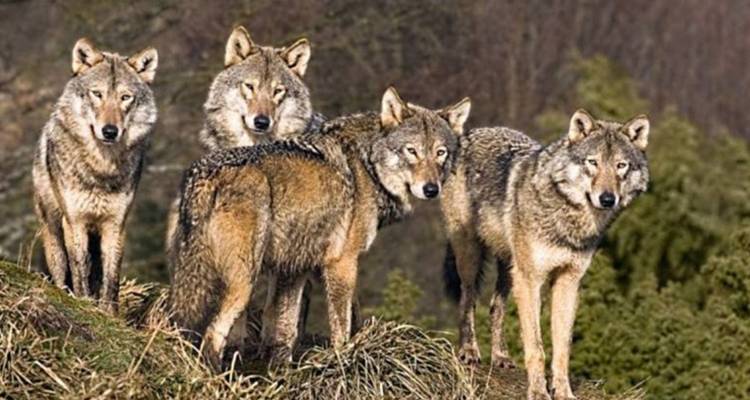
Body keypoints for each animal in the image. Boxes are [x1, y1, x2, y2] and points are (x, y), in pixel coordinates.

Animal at [32, 38, 158, 313]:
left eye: (125, 97)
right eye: (97, 94)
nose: (110, 131)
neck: (101, 168)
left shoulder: (116, 225)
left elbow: (111, 278)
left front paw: (109, 313)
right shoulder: (75, 222)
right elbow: (79, 269)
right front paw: (83, 303)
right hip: (53, 231)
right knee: (62, 270)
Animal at [169, 87, 471, 370]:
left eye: (440, 153)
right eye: (412, 151)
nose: (431, 189)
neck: (368, 166)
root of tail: (205, 175)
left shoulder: (295, 268)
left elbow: (285, 328)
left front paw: (281, 370)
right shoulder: (341, 262)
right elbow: (342, 324)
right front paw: (343, 361)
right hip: (244, 281)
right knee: (213, 334)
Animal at [441, 110, 649, 400]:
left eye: (621, 166)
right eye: (593, 162)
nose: (607, 199)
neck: (569, 219)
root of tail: (472, 132)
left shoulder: (568, 281)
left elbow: (562, 348)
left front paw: (563, 392)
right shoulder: (532, 280)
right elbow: (536, 347)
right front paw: (539, 391)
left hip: (510, 268)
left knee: (495, 306)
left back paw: (500, 357)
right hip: (472, 256)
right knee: (468, 299)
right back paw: (469, 351)